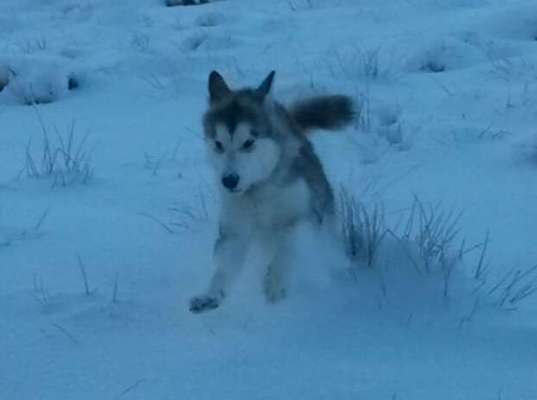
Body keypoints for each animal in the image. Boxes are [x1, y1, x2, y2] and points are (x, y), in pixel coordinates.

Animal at [188, 70, 352, 312]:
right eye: (218, 144)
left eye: (248, 142)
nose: (229, 180)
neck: (258, 189)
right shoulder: (235, 228)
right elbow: (225, 266)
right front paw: (211, 295)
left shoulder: (307, 215)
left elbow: (288, 239)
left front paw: (275, 281)